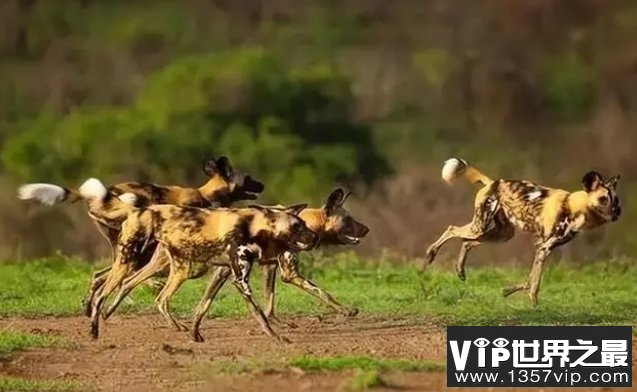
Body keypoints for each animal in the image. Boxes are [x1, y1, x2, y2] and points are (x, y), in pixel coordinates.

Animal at [16, 158, 264, 314]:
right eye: (249, 178)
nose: (262, 184)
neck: (207, 195)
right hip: (136, 252)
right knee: (114, 277)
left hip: (130, 252)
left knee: (100, 276)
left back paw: (90, 307)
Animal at [99, 188, 368, 340]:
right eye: (349, 220)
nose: (366, 229)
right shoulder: (288, 273)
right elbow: (323, 293)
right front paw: (347, 311)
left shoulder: (259, 268)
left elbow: (267, 299)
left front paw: (275, 323)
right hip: (181, 268)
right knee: (129, 282)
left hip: (171, 266)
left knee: (121, 281)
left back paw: (104, 312)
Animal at [424, 158, 620, 304]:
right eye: (603, 200)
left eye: (616, 200)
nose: (617, 212)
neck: (574, 208)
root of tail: (492, 182)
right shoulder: (544, 247)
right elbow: (535, 283)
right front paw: (534, 304)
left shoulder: (543, 248)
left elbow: (530, 280)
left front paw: (509, 291)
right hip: (479, 227)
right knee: (452, 229)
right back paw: (431, 254)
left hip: (502, 235)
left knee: (466, 242)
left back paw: (460, 270)